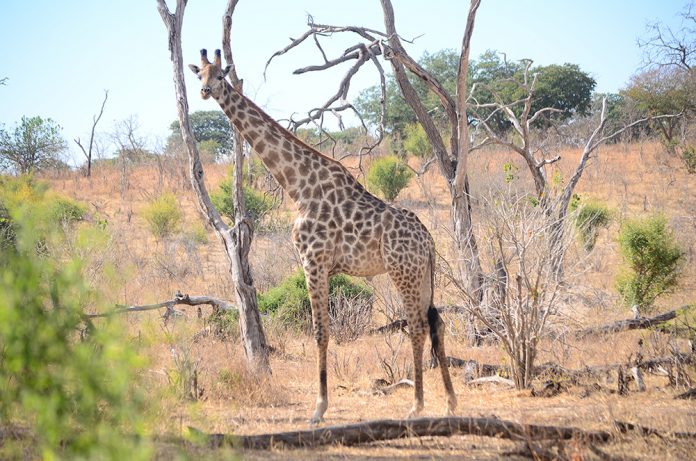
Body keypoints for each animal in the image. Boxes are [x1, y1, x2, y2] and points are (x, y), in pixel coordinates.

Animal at [189, 49, 456, 423]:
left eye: (220, 76)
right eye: (199, 74)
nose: (205, 91)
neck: (298, 186)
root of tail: (428, 241)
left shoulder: (312, 261)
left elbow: (320, 332)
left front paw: (318, 408)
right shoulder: (320, 265)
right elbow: (323, 330)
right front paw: (320, 404)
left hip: (403, 271)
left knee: (417, 326)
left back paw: (416, 406)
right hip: (424, 274)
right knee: (436, 323)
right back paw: (449, 402)